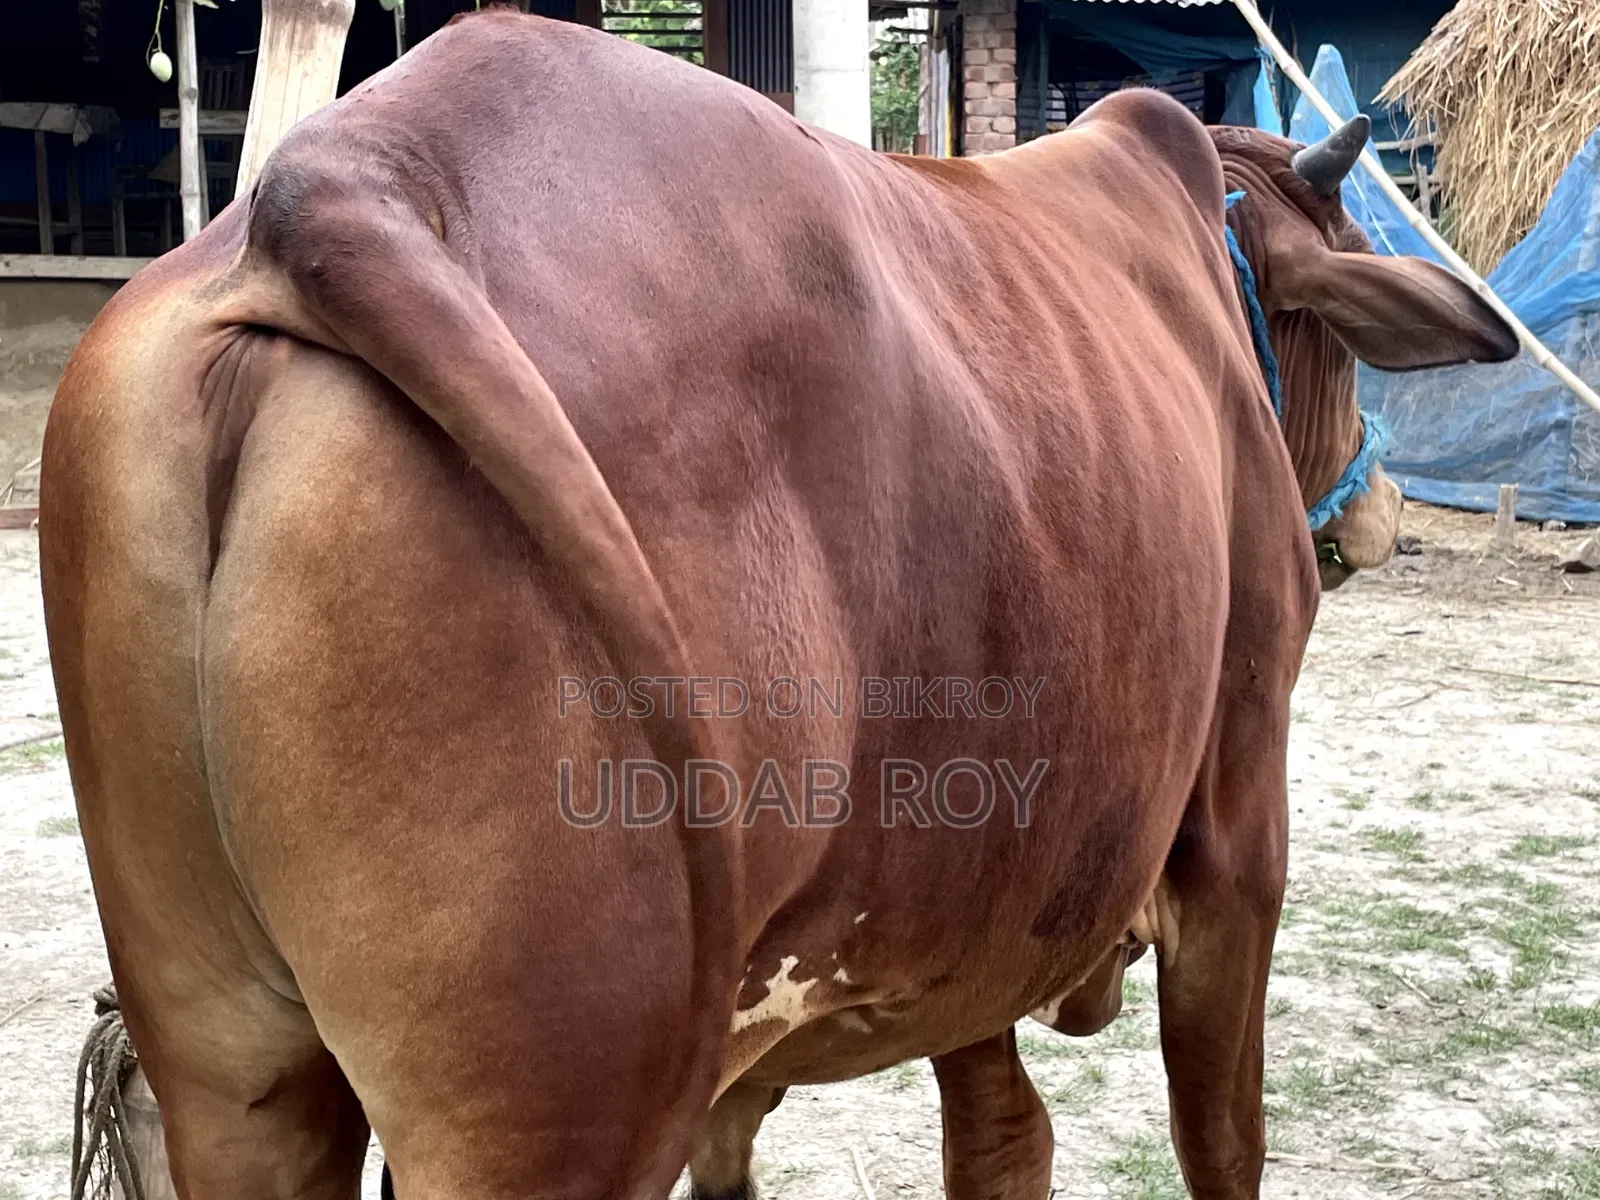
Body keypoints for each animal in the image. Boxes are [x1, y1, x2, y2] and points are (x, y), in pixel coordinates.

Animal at [39, 11, 1515, 1200]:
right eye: (1341, 343)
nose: (1378, 518)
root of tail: (337, 185)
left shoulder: (971, 914)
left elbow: (999, 1141)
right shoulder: (1233, 837)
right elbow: (1219, 1141)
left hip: (230, 1058)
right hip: (547, 1106)